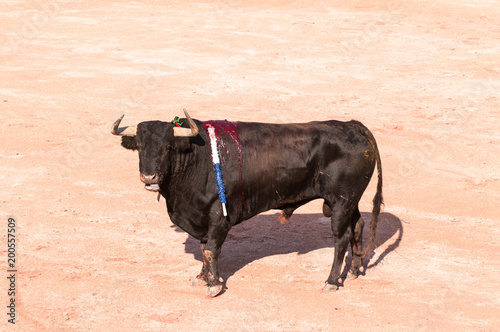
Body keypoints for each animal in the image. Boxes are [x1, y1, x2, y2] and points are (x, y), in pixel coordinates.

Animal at [111, 110, 382, 296]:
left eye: (168, 147)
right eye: (139, 147)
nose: (149, 177)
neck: (197, 158)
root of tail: (354, 126)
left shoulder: (219, 216)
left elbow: (210, 249)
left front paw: (214, 285)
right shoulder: (201, 218)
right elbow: (203, 248)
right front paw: (202, 278)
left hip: (340, 202)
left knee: (341, 236)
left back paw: (331, 281)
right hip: (351, 200)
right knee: (358, 226)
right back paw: (355, 271)